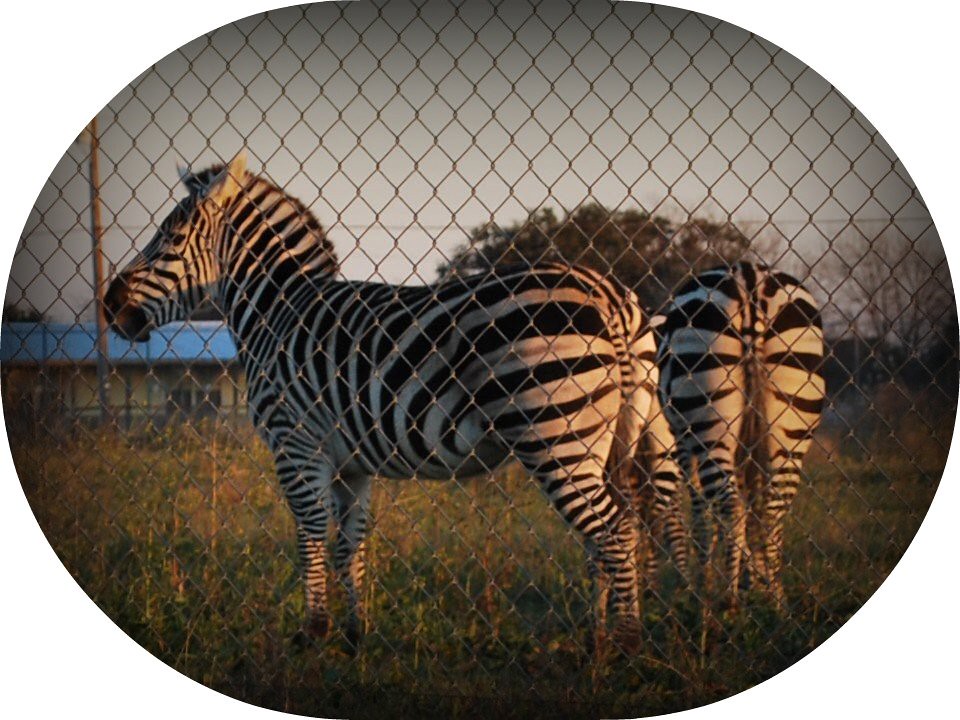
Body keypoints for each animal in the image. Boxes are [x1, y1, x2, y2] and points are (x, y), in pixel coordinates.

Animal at [103, 153, 663, 651]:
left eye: (170, 238)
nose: (110, 305)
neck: (278, 312)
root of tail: (612, 295)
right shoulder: (351, 462)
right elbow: (349, 544)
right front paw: (355, 636)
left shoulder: (295, 444)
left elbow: (309, 534)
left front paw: (313, 632)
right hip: (604, 440)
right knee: (611, 533)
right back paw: (596, 640)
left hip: (556, 438)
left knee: (614, 531)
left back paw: (626, 644)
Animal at [648, 261, 825, 609]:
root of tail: (750, 277)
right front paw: (752, 580)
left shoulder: (684, 445)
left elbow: (701, 514)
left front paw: (704, 582)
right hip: (791, 421)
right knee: (770, 507)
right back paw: (776, 600)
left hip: (708, 422)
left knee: (731, 505)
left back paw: (726, 600)